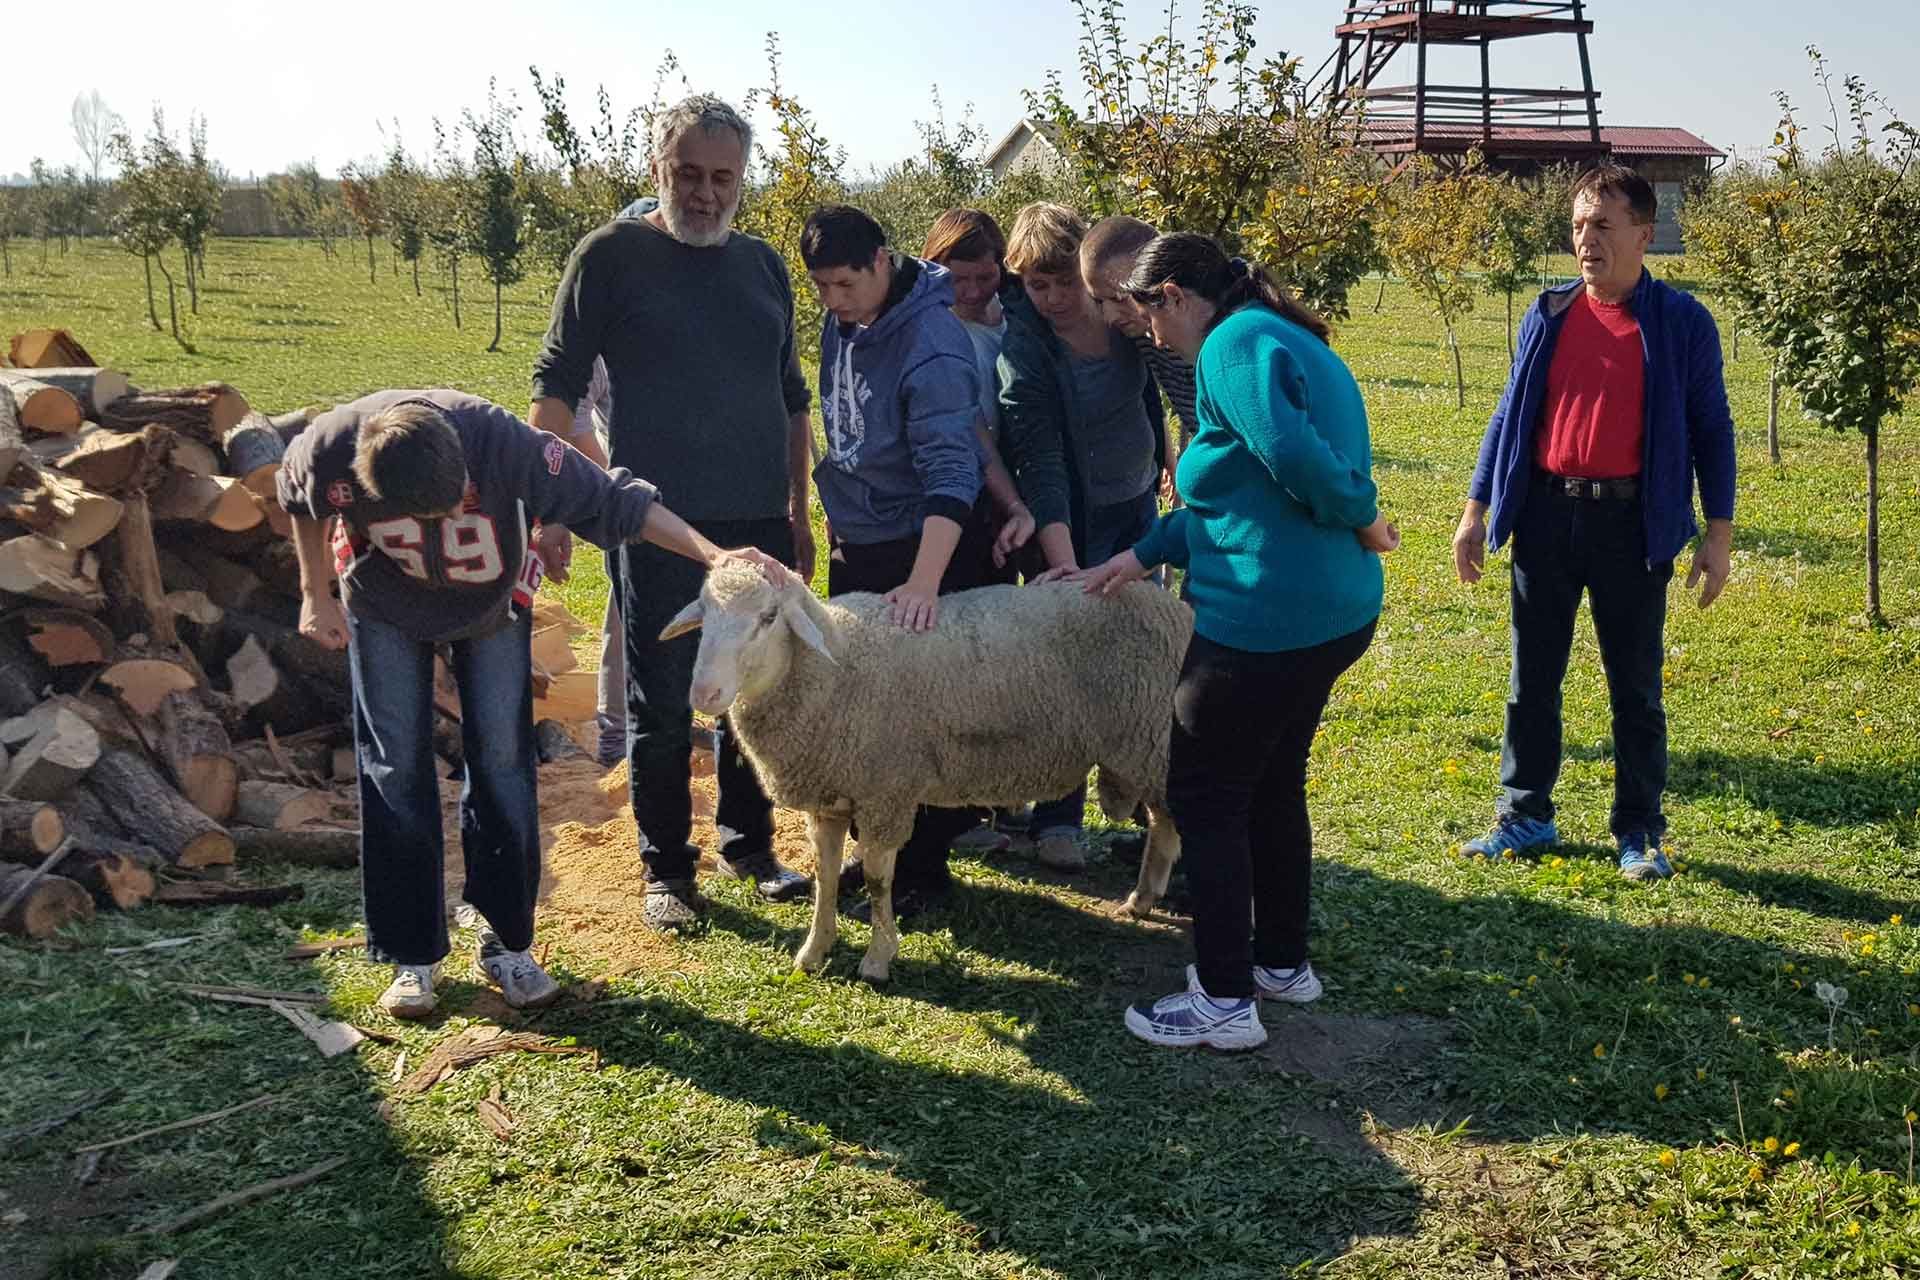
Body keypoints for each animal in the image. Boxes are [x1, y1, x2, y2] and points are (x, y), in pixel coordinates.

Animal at [659, 561, 1192, 983]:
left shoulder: (884, 792)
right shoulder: (831, 797)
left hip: (1154, 744)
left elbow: (878, 881)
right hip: (1150, 751)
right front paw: (813, 951)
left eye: (768, 618)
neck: (834, 669)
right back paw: (1142, 899)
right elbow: (825, 876)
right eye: (704, 614)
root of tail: (1176, 609)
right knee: (1164, 824)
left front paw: (877, 959)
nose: (704, 694)